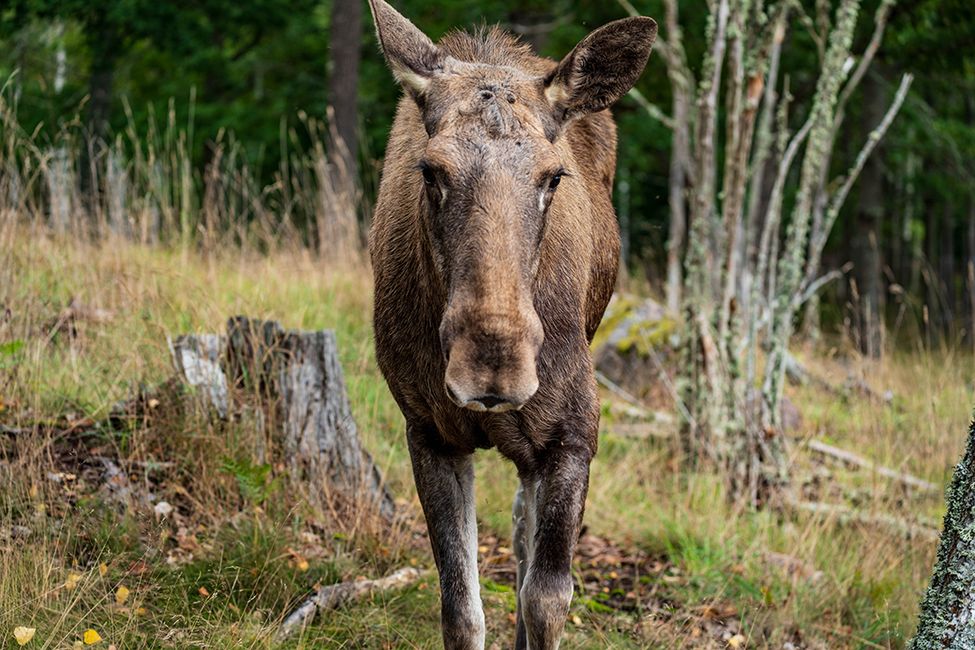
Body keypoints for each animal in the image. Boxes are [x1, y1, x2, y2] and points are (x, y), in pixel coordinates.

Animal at [366, 1, 656, 647]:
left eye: (554, 176)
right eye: (430, 171)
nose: (492, 371)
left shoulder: (574, 433)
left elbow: (544, 598)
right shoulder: (429, 431)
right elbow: (460, 607)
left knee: (525, 534)